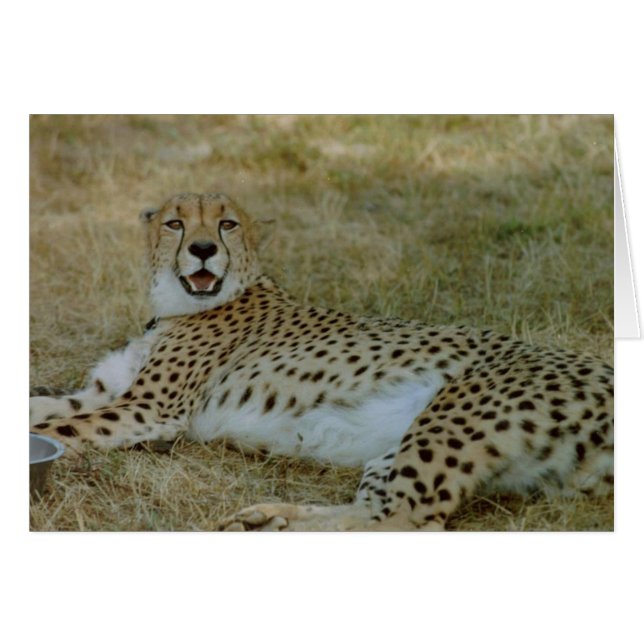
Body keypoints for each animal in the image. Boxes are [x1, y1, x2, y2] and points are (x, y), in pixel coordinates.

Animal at [30, 192, 614, 531]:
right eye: (175, 224)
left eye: (227, 225)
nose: (201, 250)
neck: (175, 306)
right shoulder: (108, 393)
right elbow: (45, 407)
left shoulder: (150, 409)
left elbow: (59, 429)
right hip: (405, 448)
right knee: (378, 511)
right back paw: (269, 520)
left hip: (450, 418)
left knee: (407, 520)